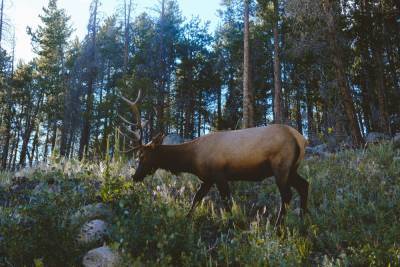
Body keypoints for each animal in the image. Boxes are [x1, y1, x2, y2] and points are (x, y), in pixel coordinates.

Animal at [119, 91, 310, 226]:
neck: (192, 160)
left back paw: (278, 226)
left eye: (142, 156)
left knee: (287, 194)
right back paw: (303, 219)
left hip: (281, 166)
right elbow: (197, 198)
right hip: (292, 168)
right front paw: (186, 218)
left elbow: (226, 202)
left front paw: (233, 224)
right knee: (304, 185)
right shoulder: (207, 178)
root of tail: (301, 139)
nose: (135, 176)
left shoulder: (219, 174)